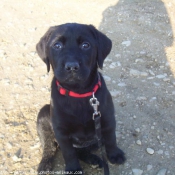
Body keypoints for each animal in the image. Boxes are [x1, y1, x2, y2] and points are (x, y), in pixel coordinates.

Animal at [36, 22, 126, 174]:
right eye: (57, 45)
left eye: (86, 45)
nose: (72, 66)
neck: (79, 93)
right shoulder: (61, 131)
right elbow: (68, 153)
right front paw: (73, 169)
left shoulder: (107, 120)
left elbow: (111, 139)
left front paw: (115, 154)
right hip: (44, 115)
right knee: (50, 146)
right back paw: (45, 163)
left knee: (82, 150)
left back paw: (93, 159)